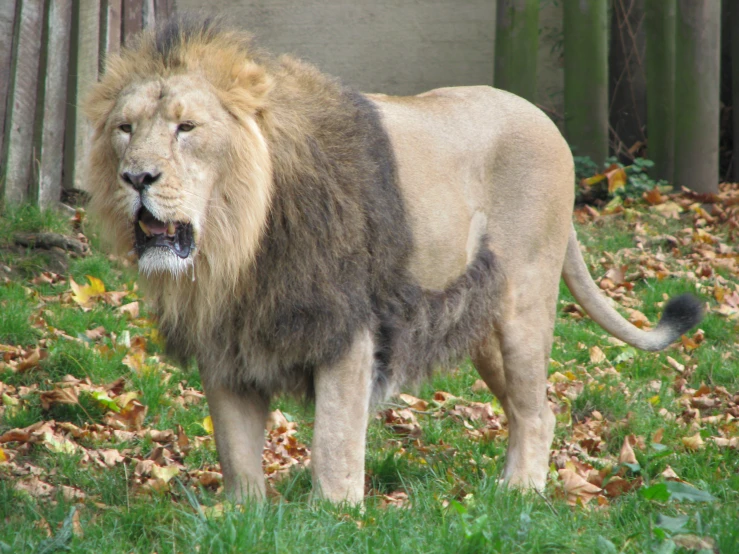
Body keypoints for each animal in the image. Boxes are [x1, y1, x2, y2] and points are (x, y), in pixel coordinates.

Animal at [84, 17, 704, 502]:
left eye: (187, 128)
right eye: (125, 129)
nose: (136, 178)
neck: (236, 247)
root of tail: (545, 119)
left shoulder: (347, 331)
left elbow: (334, 444)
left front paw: (335, 516)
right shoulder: (228, 344)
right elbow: (237, 457)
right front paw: (243, 519)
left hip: (525, 301)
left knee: (534, 409)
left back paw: (520, 494)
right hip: (480, 324)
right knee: (535, 408)